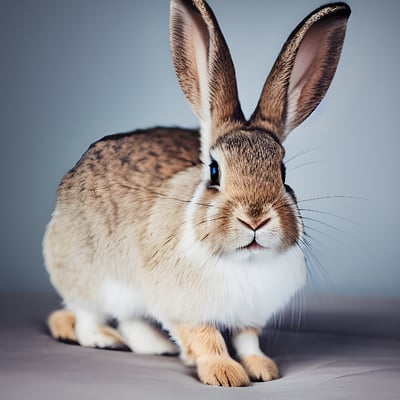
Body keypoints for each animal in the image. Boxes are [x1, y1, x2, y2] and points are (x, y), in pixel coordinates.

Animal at [43, 0, 350, 388]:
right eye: (214, 171)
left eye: (282, 173)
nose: (255, 218)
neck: (243, 262)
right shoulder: (184, 308)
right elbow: (206, 339)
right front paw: (226, 375)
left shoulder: (248, 316)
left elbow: (247, 339)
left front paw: (263, 369)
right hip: (89, 277)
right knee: (88, 316)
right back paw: (105, 340)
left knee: (130, 318)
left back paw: (155, 347)